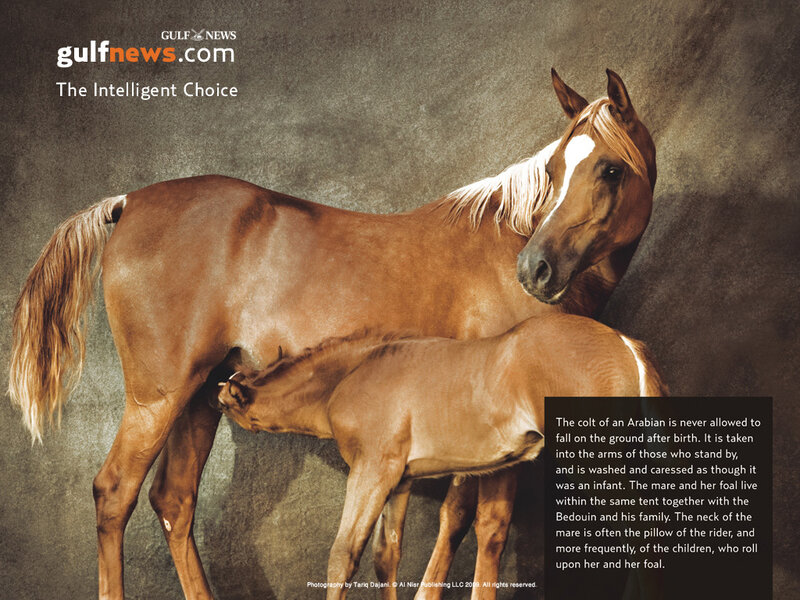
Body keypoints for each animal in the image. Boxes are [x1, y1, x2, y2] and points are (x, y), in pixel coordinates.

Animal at [215, 314, 667, 599]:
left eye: (226, 406)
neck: (354, 372)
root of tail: (625, 346)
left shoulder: (372, 469)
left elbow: (342, 556)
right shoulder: (400, 479)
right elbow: (386, 557)